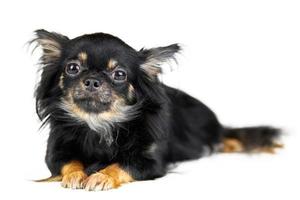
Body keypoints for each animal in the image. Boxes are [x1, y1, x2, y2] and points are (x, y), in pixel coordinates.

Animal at [31, 29, 282, 191]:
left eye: (119, 74)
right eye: (73, 68)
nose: (92, 80)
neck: (100, 124)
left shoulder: (149, 162)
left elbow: (121, 164)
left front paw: (101, 176)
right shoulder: (55, 153)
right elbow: (69, 162)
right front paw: (76, 175)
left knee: (227, 137)